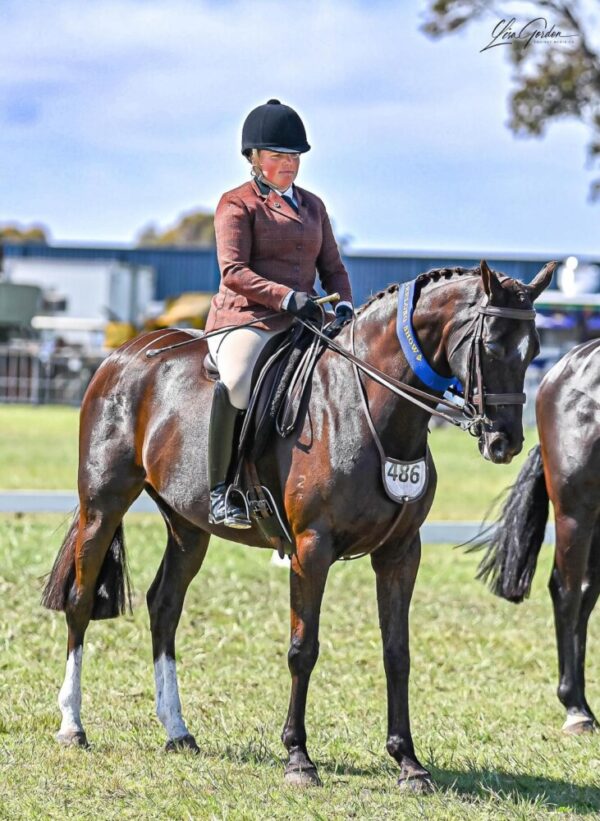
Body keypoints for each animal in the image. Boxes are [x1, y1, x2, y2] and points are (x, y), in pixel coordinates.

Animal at [43, 260, 552, 792]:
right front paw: (298, 757)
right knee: (80, 601)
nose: (504, 442)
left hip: (188, 526)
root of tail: (125, 353)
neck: (368, 409)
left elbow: (397, 653)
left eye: (534, 350)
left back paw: (177, 730)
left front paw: (408, 763)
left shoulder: (401, 552)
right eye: (490, 344)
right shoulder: (312, 548)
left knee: (164, 606)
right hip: (103, 504)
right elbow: (302, 648)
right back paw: (72, 725)